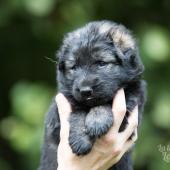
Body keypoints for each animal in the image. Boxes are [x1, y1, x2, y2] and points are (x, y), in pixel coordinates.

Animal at [38, 20, 146, 170]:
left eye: (101, 63)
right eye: (74, 67)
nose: (85, 91)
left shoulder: (132, 98)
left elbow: (106, 102)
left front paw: (97, 121)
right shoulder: (60, 109)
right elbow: (77, 112)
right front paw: (81, 140)